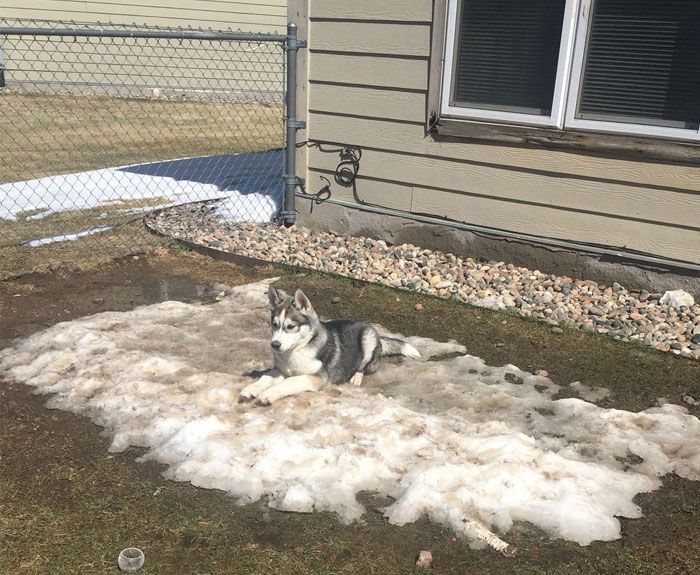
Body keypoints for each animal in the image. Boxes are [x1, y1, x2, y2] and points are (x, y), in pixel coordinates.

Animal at [238, 288, 418, 404]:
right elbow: (266, 376)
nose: (274, 345)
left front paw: (269, 394)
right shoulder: (280, 369)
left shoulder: (319, 377)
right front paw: (252, 388)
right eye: (274, 325)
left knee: (365, 367)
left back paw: (356, 376)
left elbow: (291, 382)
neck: (296, 351)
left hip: (368, 339)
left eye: (290, 326)